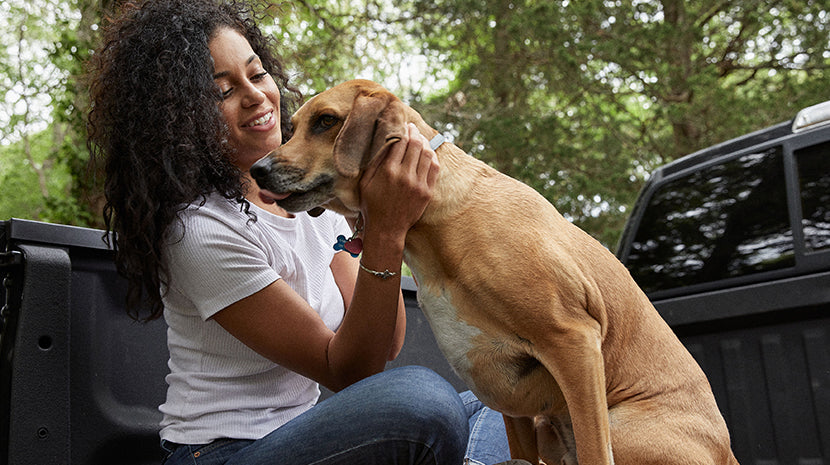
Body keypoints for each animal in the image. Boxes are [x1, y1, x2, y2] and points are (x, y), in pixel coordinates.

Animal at [249, 80, 740, 464]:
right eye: (293, 127)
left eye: (326, 121)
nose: (257, 169)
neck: (435, 224)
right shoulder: (510, 395)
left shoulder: (573, 341)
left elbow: (595, 454)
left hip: (619, 427)